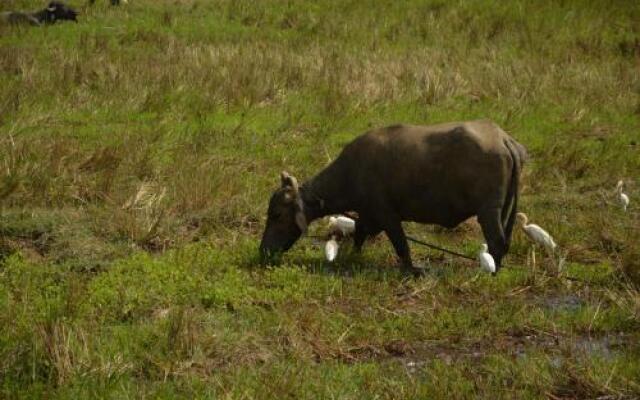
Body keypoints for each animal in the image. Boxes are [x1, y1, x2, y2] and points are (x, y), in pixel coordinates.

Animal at [258, 119, 528, 276]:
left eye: (277, 215)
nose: (263, 251)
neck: (352, 172)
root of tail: (504, 140)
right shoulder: (368, 213)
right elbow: (359, 232)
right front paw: (354, 255)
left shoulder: (387, 215)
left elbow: (401, 245)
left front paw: (410, 269)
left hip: (488, 211)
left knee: (497, 240)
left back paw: (491, 271)